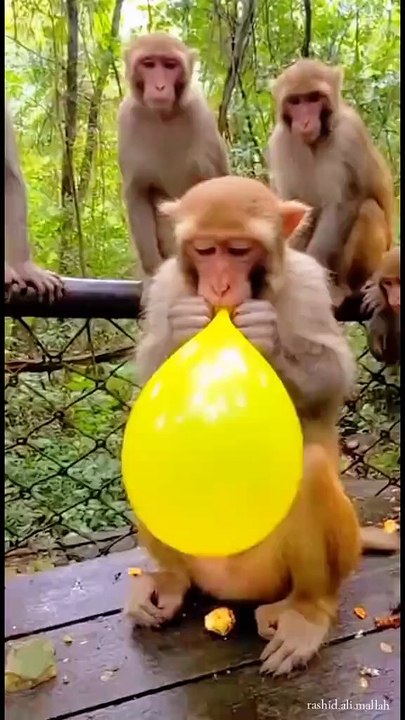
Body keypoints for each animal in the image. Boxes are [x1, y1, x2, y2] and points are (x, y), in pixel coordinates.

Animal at [118, 32, 230, 281]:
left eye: (170, 65)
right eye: (149, 64)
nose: (160, 86)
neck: (163, 116)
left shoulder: (201, 117)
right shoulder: (126, 119)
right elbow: (138, 192)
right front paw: (153, 271)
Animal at [125, 176, 363, 676]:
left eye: (238, 250)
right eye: (204, 249)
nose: (219, 284)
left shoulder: (309, 282)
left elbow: (334, 374)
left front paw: (264, 333)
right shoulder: (167, 285)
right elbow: (153, 373)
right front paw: (186, 326)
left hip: (284, 568)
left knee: (311, 470)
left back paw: (307, 612)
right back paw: (170, 581)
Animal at [266, 59, 394, 308]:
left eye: (314, 98)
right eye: (296, 101)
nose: (305, 121)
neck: (316, 142)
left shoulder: (349, 134)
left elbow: (342, 203)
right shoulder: (280, 142)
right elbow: (295, 209)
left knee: (368, 209)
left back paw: (346, 286)